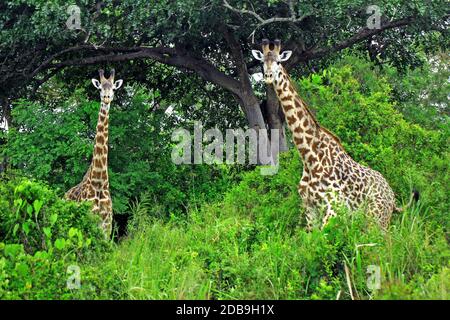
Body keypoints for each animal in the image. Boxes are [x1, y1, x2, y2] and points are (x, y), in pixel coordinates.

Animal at [63, 68, 123, 238]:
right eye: (100, 88)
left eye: (113, 88)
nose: (107, 98)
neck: (99, 181)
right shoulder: (88, 222)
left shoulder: (107, 226)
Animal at [251, 40, 416, 230]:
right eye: (262, 62)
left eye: (278, 62)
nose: (268, 76)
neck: (309, 157)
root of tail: (393, 197)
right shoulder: (310, 209)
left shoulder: (333, 209)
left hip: (377, 219)